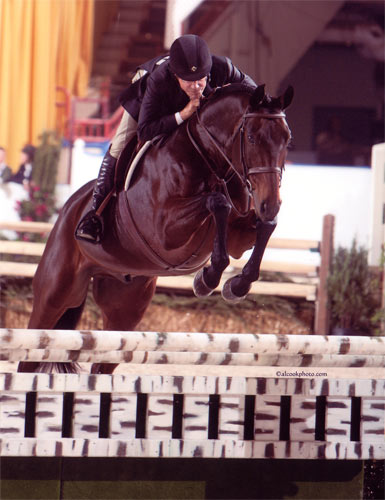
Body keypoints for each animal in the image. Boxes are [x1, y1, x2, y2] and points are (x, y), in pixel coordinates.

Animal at [18, 82, 292, 374]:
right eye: (251, 138)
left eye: (287, 140)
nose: (270, 204)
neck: (208, 159)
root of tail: (68, 208)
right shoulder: (165, 230)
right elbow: (217, 202)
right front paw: (208, 278)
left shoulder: (239, 237)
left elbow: (264, 226)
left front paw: (237, 284)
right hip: (54, 296)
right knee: (30, 353)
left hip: (124, 310)